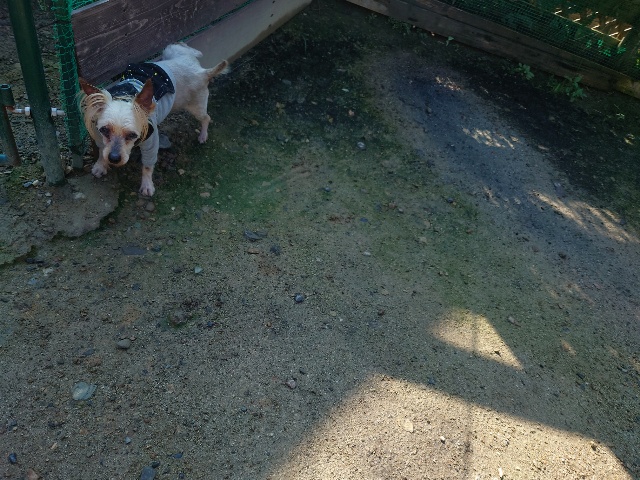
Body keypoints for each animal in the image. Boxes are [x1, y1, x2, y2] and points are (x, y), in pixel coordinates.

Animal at [79, 43, 228, 196]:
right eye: (104, 130)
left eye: (132, 135)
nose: (114, 158)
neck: (125, 94)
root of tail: (202, 71)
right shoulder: (98, 136)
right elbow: (101, 151)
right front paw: (100, 165)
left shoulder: (151, 143)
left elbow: (147, 166)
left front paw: (147, 185)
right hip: (172, 50)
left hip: (196, 107)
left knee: (206, 118)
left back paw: (203, 135)